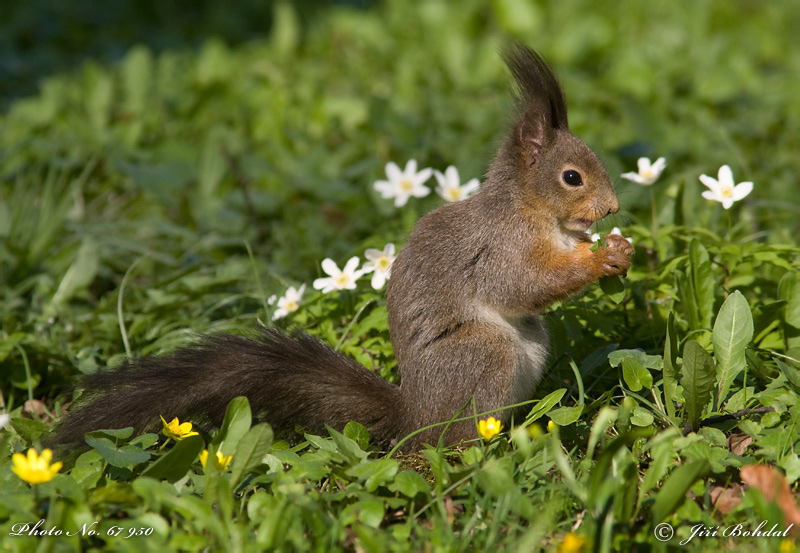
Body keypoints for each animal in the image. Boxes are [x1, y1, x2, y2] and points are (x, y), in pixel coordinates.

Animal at [48, 45, 632, 451]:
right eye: (573, 177)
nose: (612, 210)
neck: (532, 211)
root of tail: (415, 417)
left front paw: (619, 251)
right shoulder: (499, 246)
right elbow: (523, 283)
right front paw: (600, 258)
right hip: (481, 354)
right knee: (457, 436)